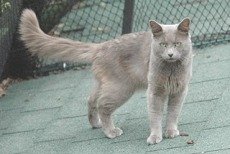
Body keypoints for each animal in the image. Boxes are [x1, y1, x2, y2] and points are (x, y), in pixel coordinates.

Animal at [19, 9, 192, 144]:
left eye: (177, 44)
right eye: (163, 44)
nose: (170, 54)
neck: (171, 69)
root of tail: (102, 45)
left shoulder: (180, 90)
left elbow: (173, 113)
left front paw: (171, 131)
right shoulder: (155, 92)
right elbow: (155, 115)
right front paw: (155, 137)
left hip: (105, 84)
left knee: (91, 100)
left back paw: (96, 124)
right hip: (121, 87)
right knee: (102, 105)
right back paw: (110, 131)